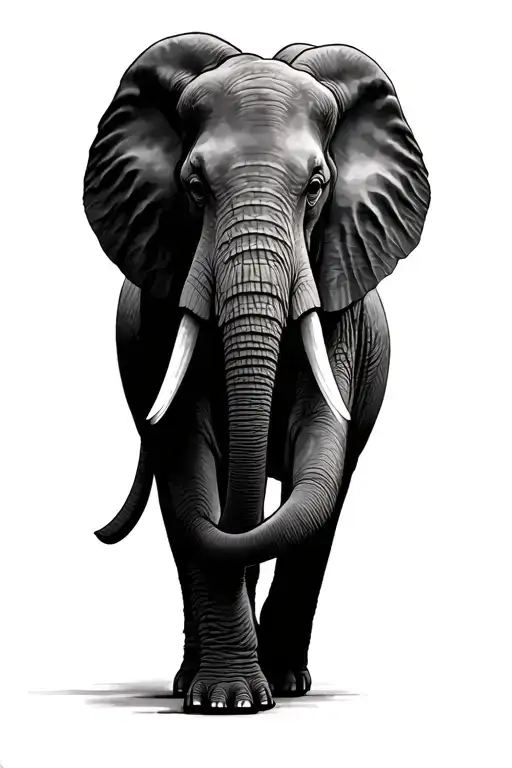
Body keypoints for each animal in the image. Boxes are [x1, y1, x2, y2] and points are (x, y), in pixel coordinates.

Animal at [83, 33, 430, 715]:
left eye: (317, 186)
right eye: (193, 186)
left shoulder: (339, 299)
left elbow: (319, 452)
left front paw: (255, 694)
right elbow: (189, 460)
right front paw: (227, 702)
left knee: (329, 490)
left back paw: (287, 681)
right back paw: (193, 680)